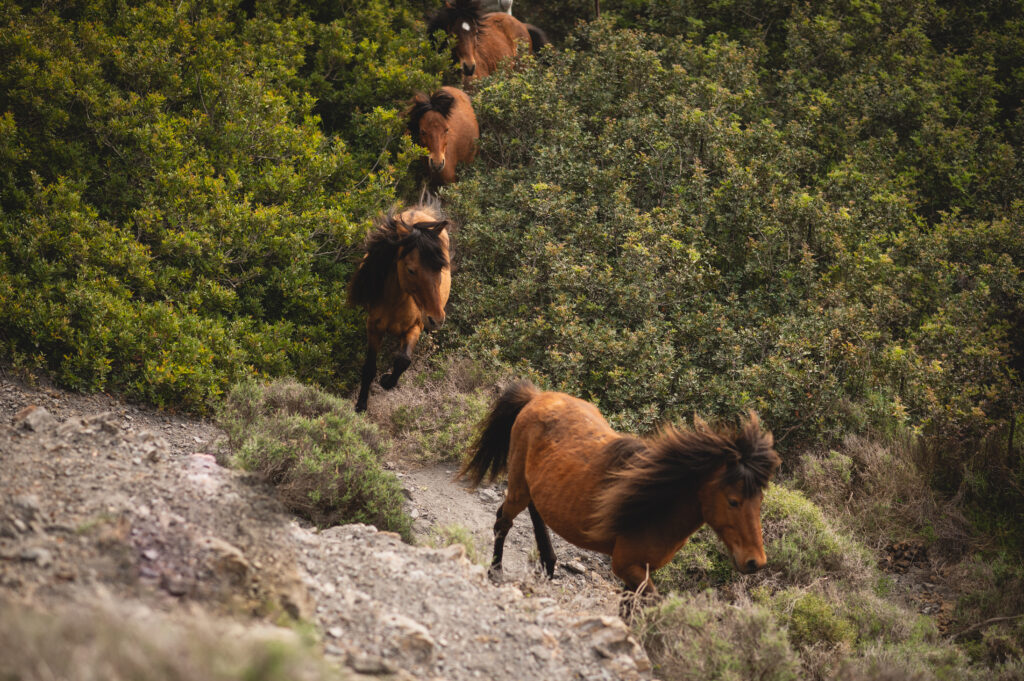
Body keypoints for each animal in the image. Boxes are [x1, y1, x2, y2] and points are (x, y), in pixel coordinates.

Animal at [348, 196, 452, 409]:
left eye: (440, 268)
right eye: (411, 270)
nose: (436, 319)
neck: (395, 304)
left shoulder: (416, 326)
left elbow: (403, 360)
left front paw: (387, 381)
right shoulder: (374, 327)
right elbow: (369, 367)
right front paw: (361, 405)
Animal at [460, 382, 778, 593]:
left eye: (760, 502)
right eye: (733, 501)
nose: (756, 562)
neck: (657, 507)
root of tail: (537, 397)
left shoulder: (639, 571)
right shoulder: (626, 567)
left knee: (536, 514)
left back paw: (549, 565)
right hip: (517, 486)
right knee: (504, 521)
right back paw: (496, 571)